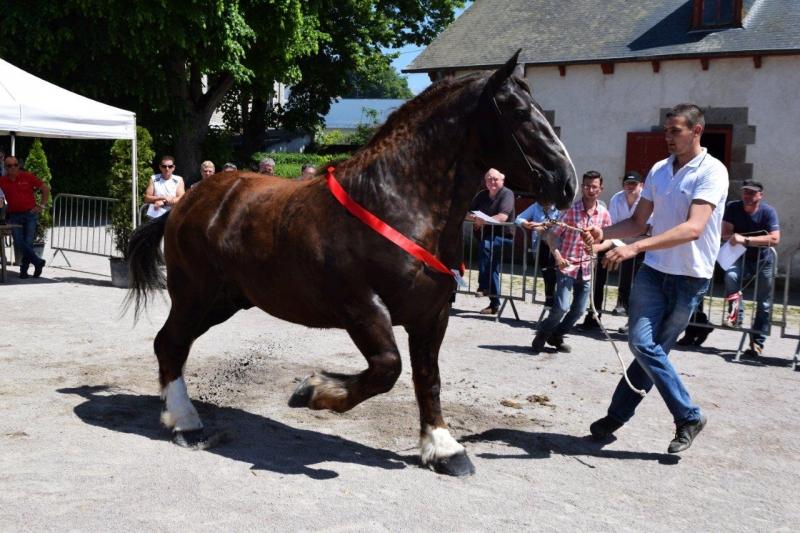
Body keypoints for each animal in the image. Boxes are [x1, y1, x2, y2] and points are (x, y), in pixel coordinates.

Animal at [126, 51, 576, 474]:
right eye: (519, 112)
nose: (567, 183)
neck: (397, 201)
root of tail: (187, 201)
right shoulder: (361, 307)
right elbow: (388, 367)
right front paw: (313, 391)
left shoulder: (432, 314)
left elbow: (427, 377)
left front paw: (444, 448)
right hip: (195, 294)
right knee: (170, 343)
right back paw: (184, 421)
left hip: (225, 300)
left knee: (174, 345)